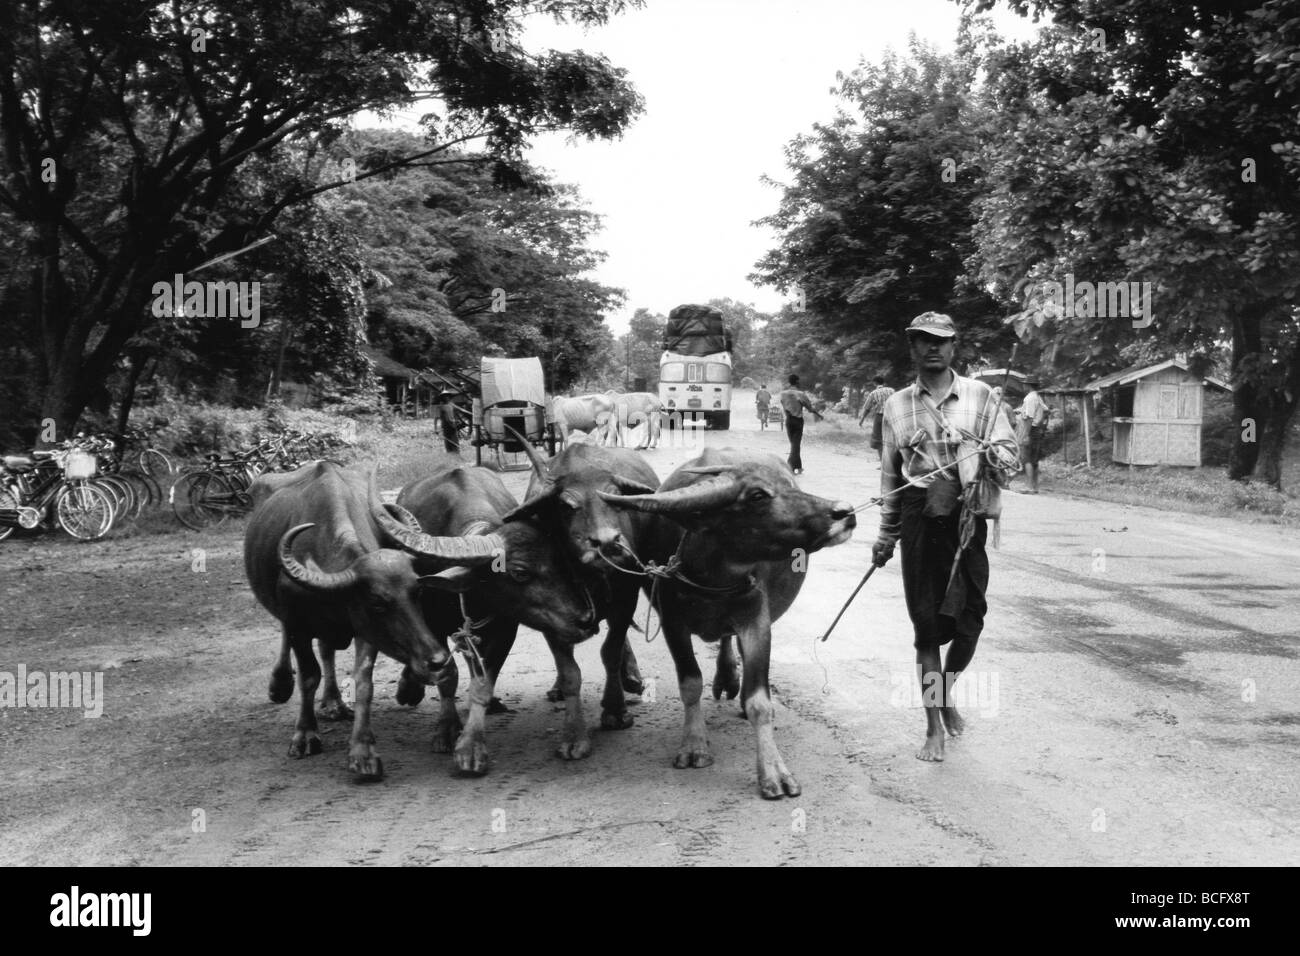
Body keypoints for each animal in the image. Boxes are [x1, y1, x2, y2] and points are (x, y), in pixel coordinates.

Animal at [245, 460, 499, 780]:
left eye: (417, 592)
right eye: (378, 603)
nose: (438, 660)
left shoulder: (365, 630)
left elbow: (364, 683)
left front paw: (363, 752)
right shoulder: (298, 624)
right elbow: (308, 676)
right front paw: (305, 735)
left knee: (327, 651)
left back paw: (334, 703)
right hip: (284, 616)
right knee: (288, 641)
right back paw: (279, 685)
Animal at [395, 463, 598, 770]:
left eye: (560, 561)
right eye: (520, 572)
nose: (586, 619)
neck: (470, 595)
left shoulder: (503, 631)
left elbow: (483, 683)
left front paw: (471, 745)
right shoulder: (432, 625)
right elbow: (446, 676)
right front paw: (446, 728)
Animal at [499, 437, 660, 743]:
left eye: (615, 499)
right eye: (566, 505)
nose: (607, 543)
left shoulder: (626, 599)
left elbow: (610, 651)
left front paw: (615, 710)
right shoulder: (548, 612)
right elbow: (569, 669)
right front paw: (573, 733)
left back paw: (631, 677)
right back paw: (559, 688)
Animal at [603, 447, 857, 801]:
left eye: (786, 482)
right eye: (757, 495)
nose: (844, 511)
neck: (714, 575)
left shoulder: (756, 622)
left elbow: (759, 701)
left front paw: (774, 771)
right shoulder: (672, 623)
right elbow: (690, 683)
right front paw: (694, 746)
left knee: (730, 643)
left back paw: (730, 679)